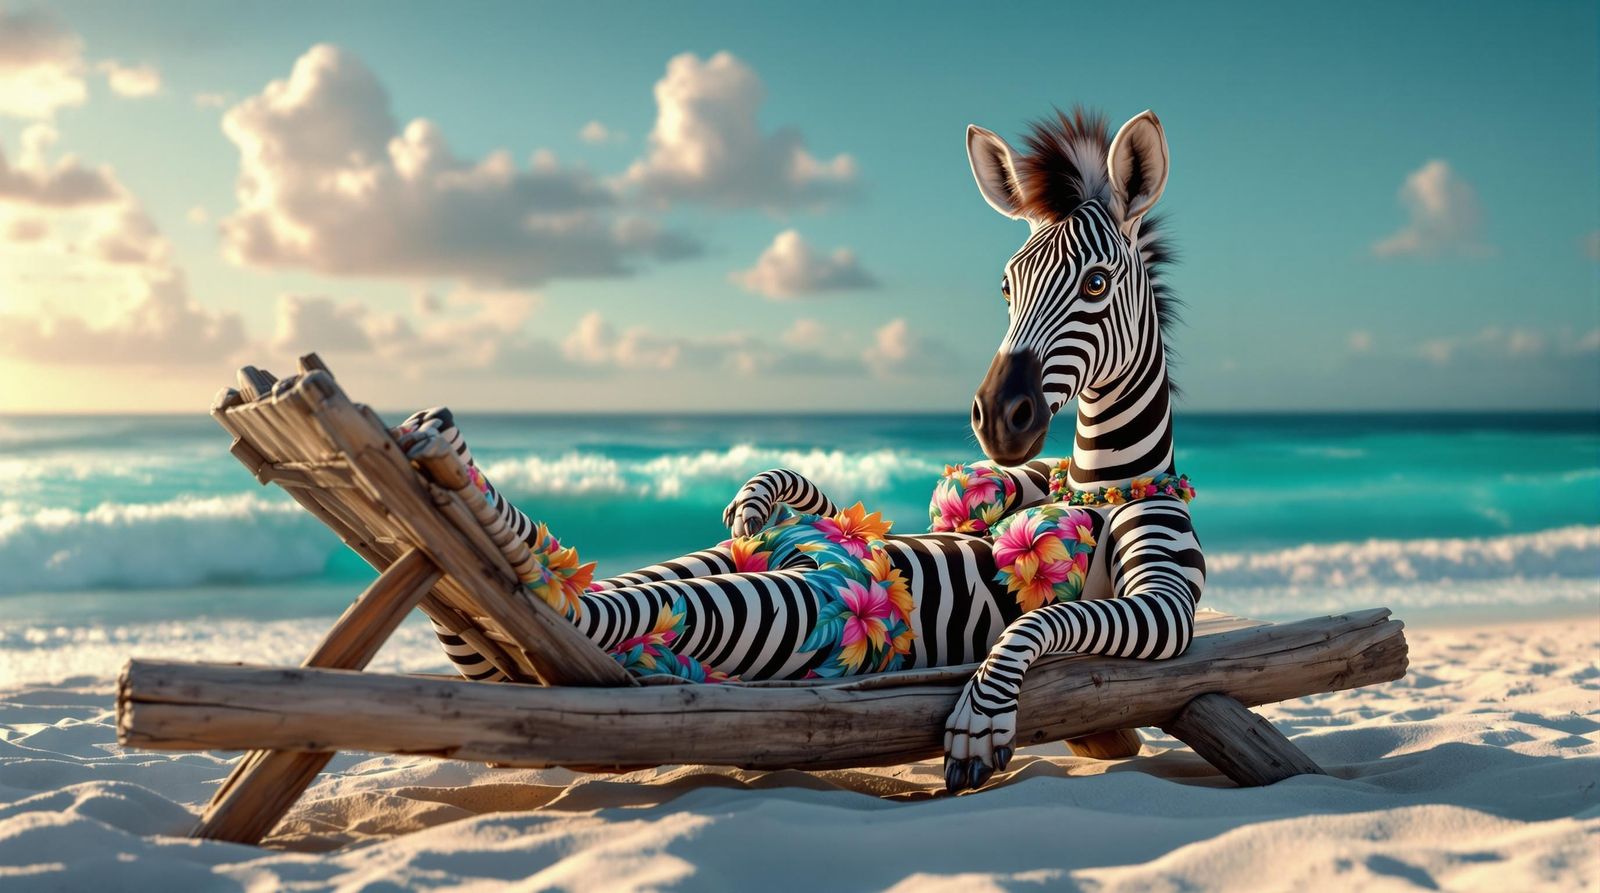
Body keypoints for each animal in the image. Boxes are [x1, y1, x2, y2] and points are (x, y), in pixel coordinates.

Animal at [415, 107, 1205, 794]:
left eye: (1097, 283)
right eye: (1007, 288)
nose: (997, 420)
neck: (1095, 485)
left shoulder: (1166, 609)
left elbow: (1046, 617)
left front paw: (981, 714)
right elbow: (830, 497)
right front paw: (761, 490)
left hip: (798, 608)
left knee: (602, 613)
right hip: (740, 563)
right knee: (617, 592)